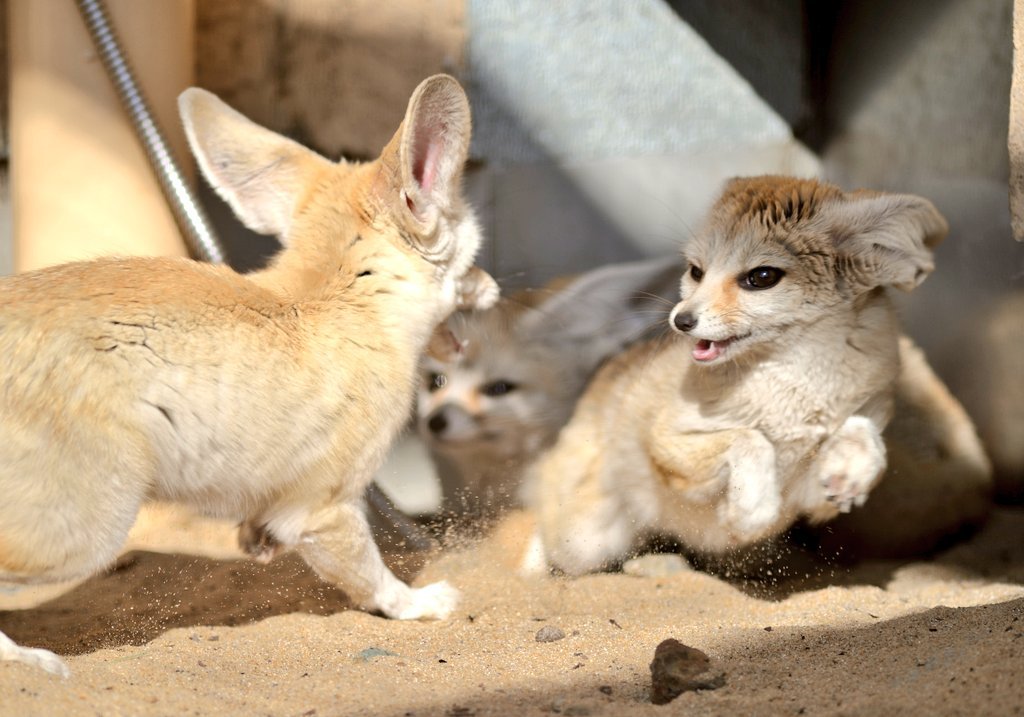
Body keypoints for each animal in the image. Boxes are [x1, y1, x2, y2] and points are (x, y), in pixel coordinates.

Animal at [0, 74, 498, 676]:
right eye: (469, 255)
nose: (495, 286)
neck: (334, 296)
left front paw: (256, 543)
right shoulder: (326, 508)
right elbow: (372, 578)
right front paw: (420, 603)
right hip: (86, 527)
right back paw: (29, 661)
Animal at [525, 176, 954, 576]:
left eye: (762, 277)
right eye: (696, 272)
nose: (681, 321)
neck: (795, 380)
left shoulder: (814, 496)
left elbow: (862, 429)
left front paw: (851, 470)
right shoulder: (668, 442)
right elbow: (749, 438)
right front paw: (749, 509)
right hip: (584, 541)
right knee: (544, 531)